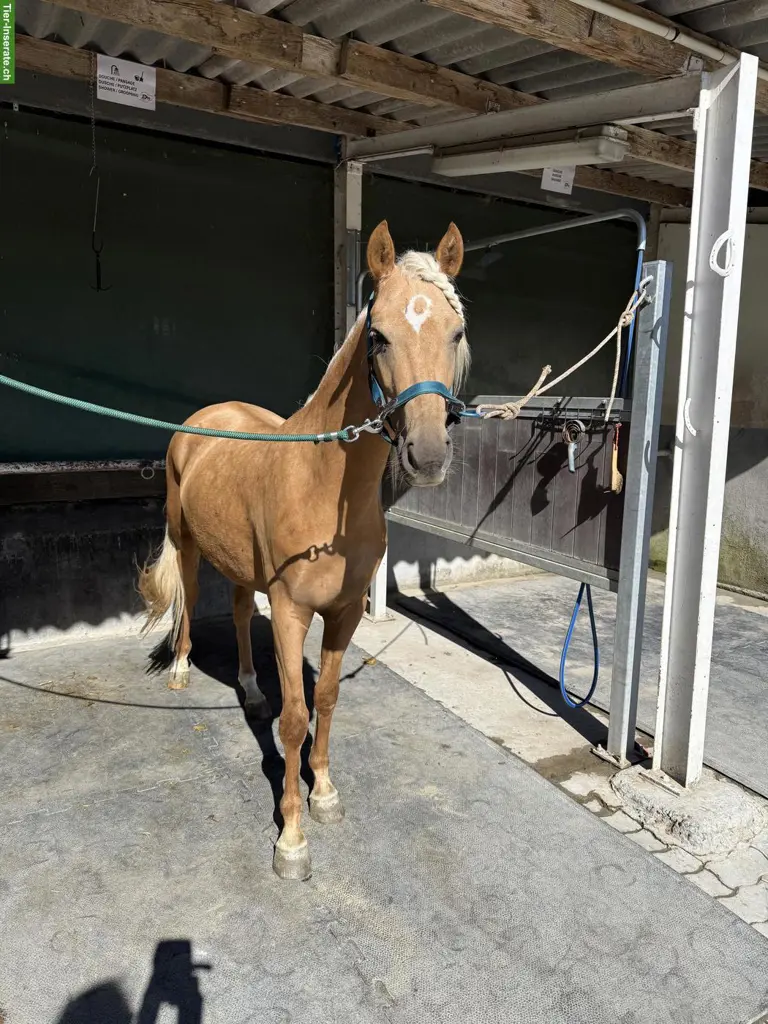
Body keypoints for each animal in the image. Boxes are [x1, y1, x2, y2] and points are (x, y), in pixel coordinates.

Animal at [138, 220, 469, 880]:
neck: (320, 487)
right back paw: (184, 669)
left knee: (241, 612)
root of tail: (201, 422)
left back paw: (248, 687)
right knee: (189, 600)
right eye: (378, 336)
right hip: (187, 544)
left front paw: (325, 795)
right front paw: (291, 837)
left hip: (242, 565)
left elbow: (327, 699)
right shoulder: (292, 611)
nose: (426, 455)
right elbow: (294, 719)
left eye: (456, 331)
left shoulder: (341, 615)